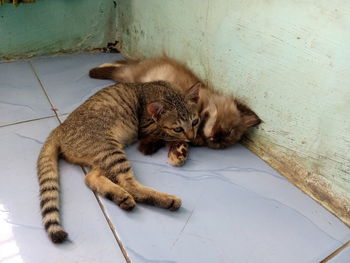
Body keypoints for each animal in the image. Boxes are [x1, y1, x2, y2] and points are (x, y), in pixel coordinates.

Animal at [38, 81, 200, 244]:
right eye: (178, 128)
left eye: (195, 121)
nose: (192, 136)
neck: (164, 91)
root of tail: (59, 128)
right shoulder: (146, 128)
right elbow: (166, 135)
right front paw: (185, 146)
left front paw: (182, 149)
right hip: (110, 150)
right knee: (128, 184)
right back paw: (167, 200)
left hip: (104, 157)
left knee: (90, 178)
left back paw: (120, 197)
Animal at [89, 56, 262, 166]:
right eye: (227, 129)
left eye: (223, 141)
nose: (215, 137)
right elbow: (167, 134)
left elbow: (174, 139)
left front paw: (174, 153)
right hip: (131, 75)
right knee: (120, 67)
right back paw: (96, 69)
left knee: (124, 65)